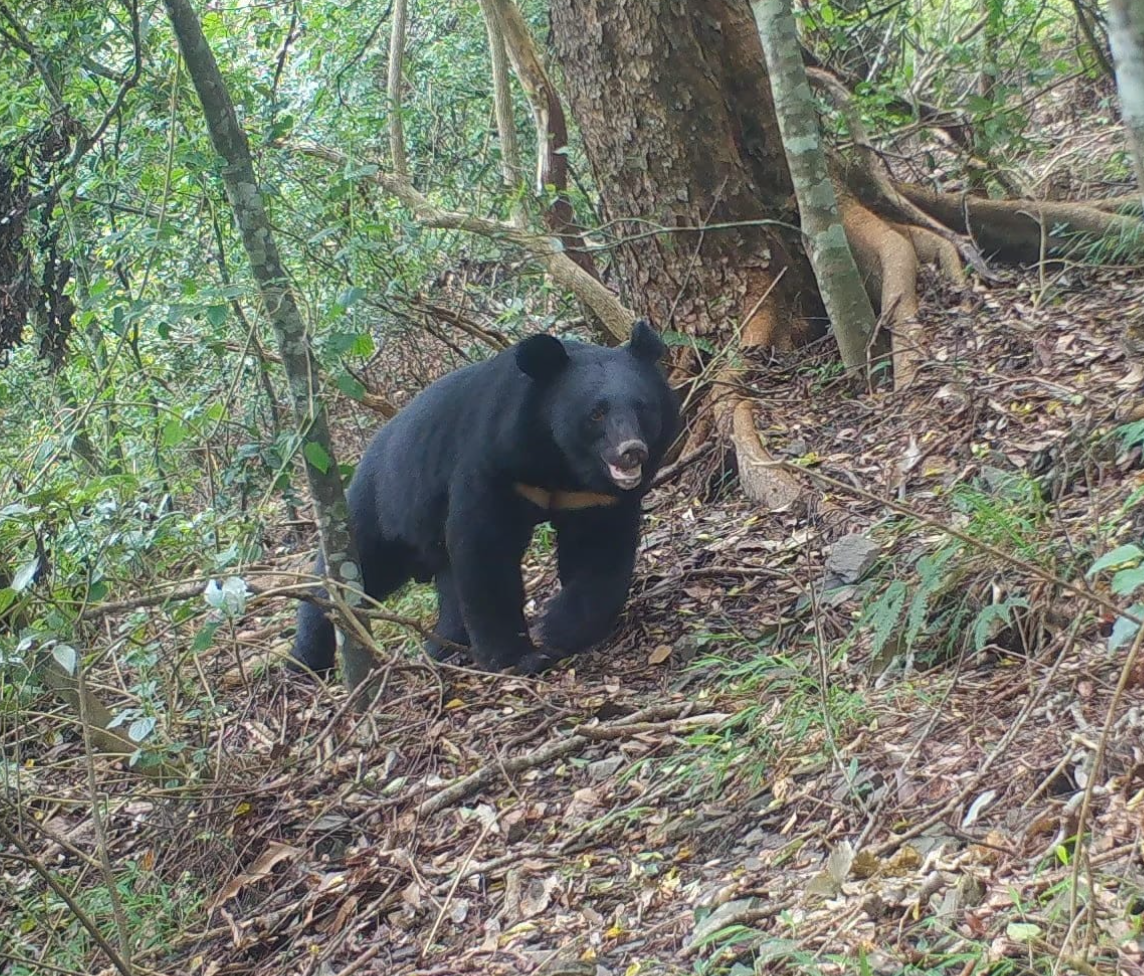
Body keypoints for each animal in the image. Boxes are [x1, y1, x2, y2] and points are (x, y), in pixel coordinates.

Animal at [289, 319, 680, 677]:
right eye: (596, 413)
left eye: (643, 407)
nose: (631, 452)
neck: (562, 464)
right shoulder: (496, 461)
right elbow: (486, 547)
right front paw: (516, 656)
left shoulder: (594, 498)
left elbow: (599, 552)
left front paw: (555, 630)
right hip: (379, 506)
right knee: (348, 575)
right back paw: (305, 662)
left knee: (447, 588)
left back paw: (443, 648)